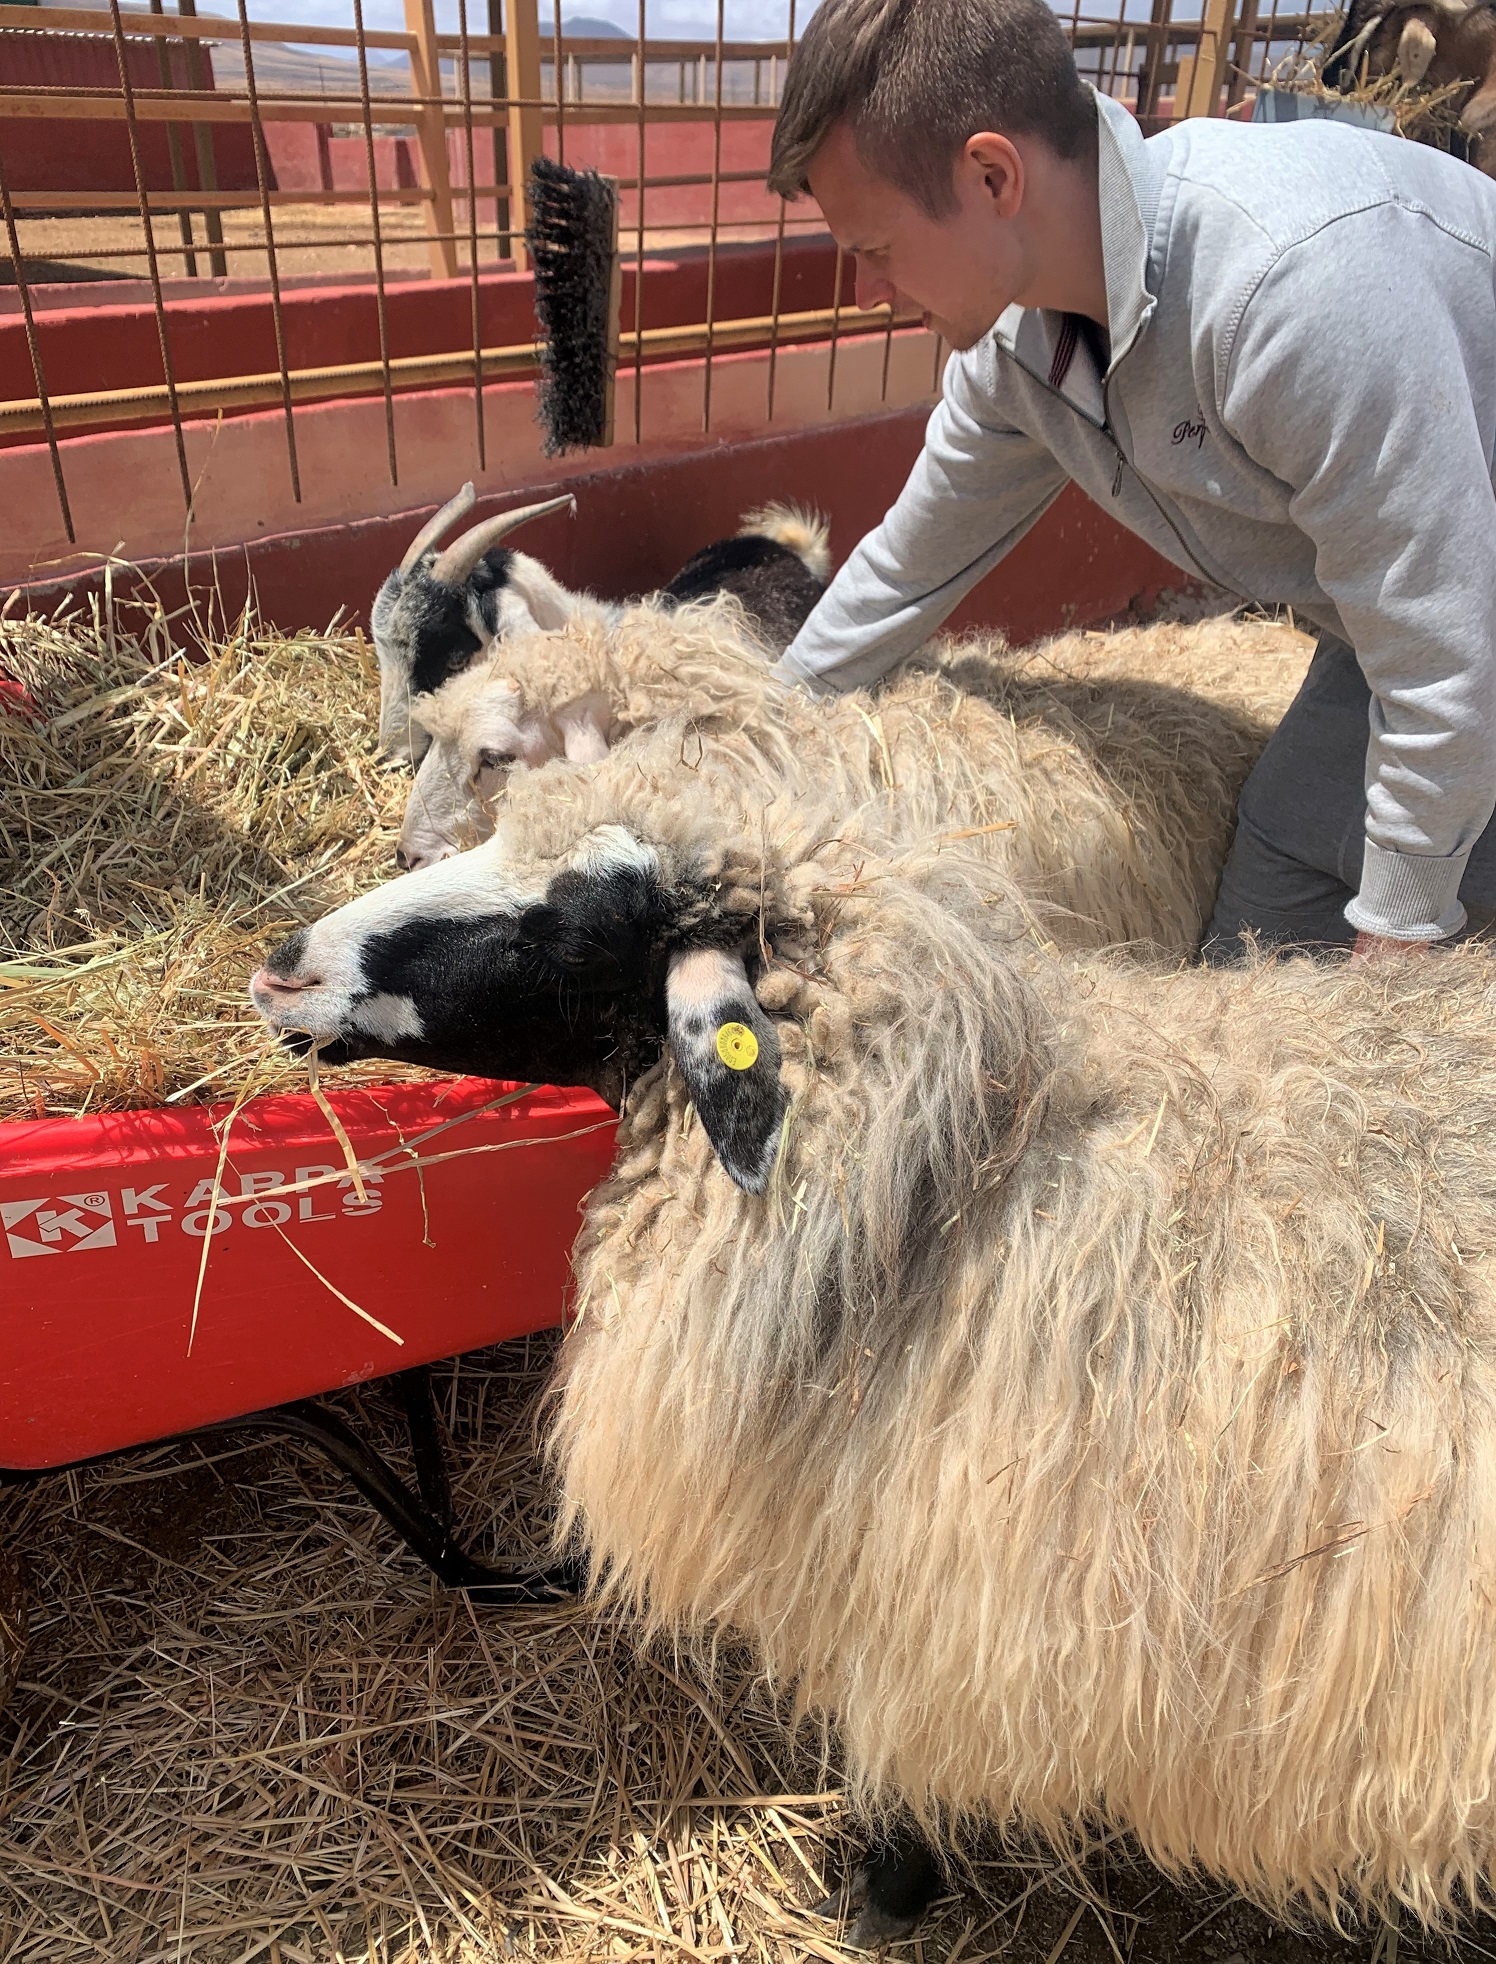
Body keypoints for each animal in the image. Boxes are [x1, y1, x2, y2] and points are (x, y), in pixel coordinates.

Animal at [257, 746, 1496, 1932]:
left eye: (563, 927)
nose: (283, 961)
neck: (957, 1172)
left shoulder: (927, 1588)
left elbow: (891, 1766)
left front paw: (886, 1894)